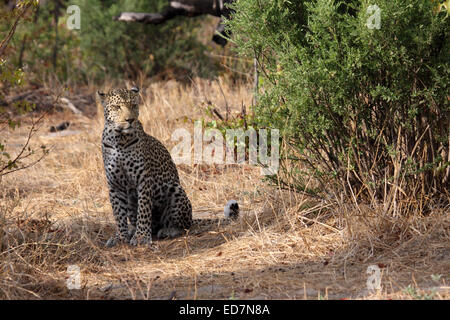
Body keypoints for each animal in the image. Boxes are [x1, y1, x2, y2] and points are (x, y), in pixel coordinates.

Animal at [98, 85, 239, 248]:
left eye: (133, 105)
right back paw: (132, 230)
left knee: (183, 225)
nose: (130, 120)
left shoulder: (143, 180)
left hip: (175, 190)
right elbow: (118, 214)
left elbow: (144, 210)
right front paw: (121, 237)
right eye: (116, 107)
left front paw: (141, 237)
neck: (119, 139)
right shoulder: (115, 184)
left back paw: (168, 230)